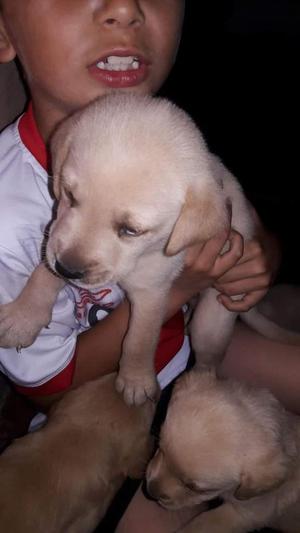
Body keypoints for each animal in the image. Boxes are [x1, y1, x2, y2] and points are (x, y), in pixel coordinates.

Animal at [1, 95, 298, 404]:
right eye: (70, 195)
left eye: (131, 230)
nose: (68, 269)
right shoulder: (57, 236)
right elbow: (44, 270)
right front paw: (23, 316)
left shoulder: (152, 290)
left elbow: (140, 338)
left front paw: (135, 380)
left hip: (213, 321)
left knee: (207, 361)